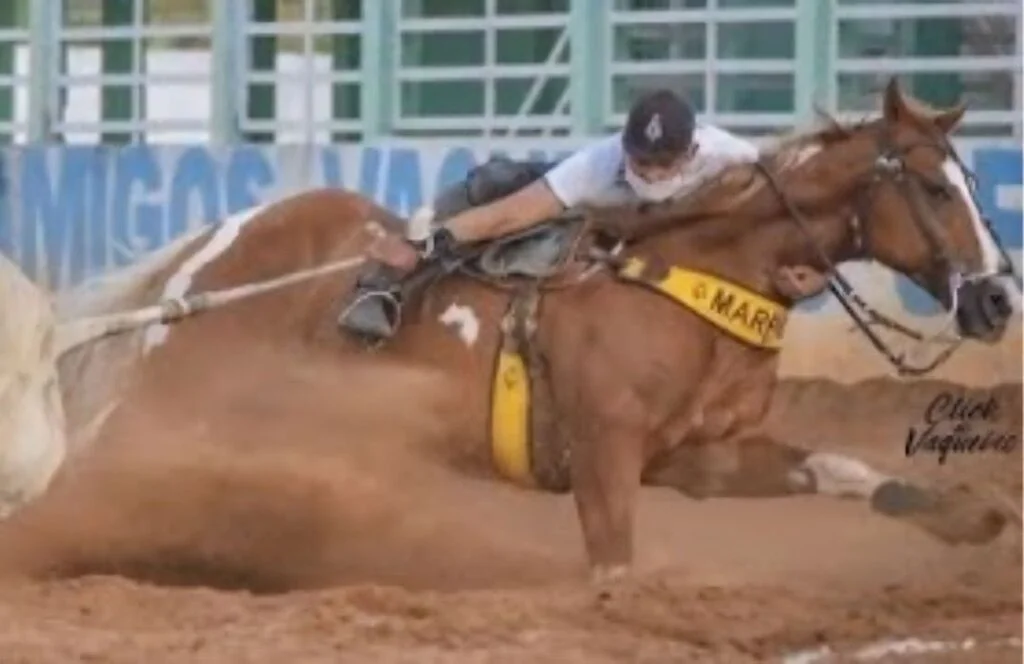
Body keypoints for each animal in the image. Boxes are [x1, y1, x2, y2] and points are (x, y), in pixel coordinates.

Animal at [40, 77, 1019, 583]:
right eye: (934, 187)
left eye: (971, 179)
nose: (996, 301)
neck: (691, 274)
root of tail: (203, 260)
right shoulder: (605, 452)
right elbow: (613, 564)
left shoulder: (695, 455)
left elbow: (845, 469)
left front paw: (969, 517)